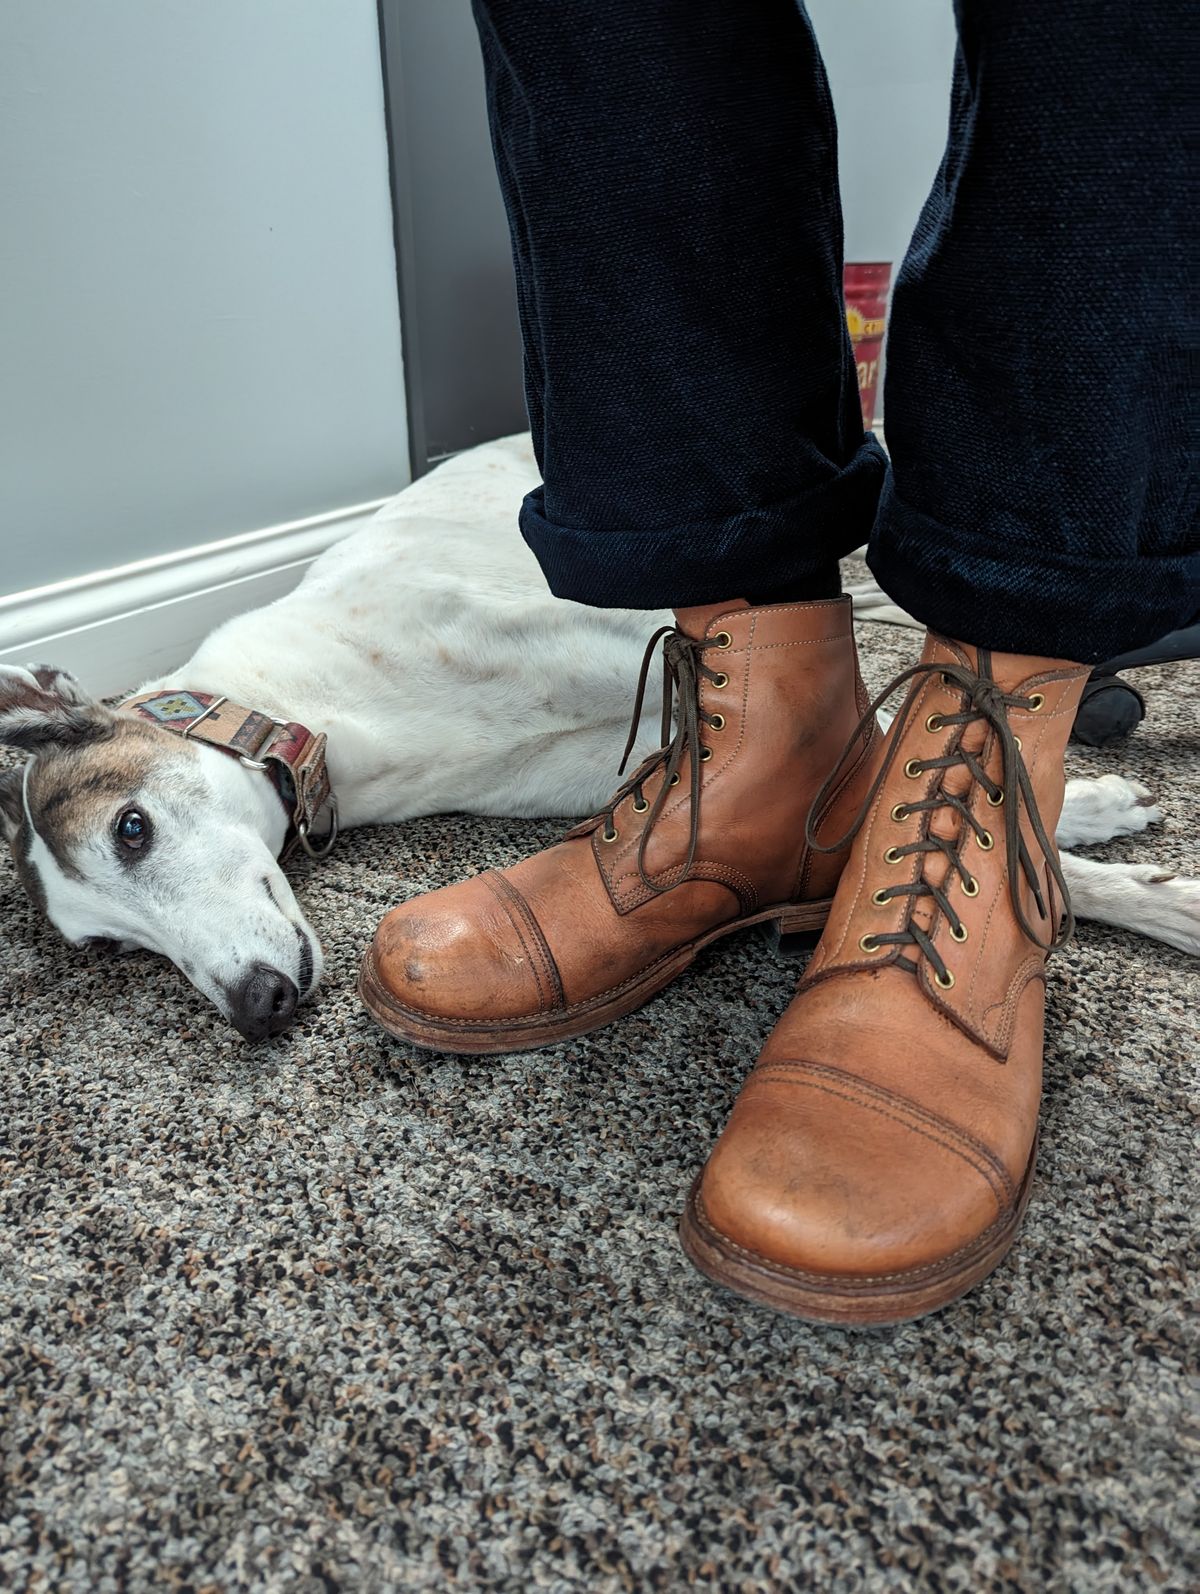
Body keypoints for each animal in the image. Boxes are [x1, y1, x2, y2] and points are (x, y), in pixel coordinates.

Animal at [0, 436, 1192, 1039]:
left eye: (133, 828)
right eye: (109, 948)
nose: (255, 1011)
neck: (323, 704)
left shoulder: (628, 649)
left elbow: (918, 751)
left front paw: (1123, 847)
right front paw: (1121, 857)